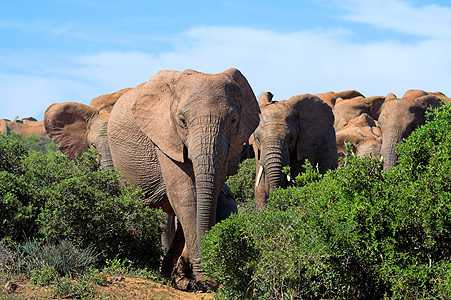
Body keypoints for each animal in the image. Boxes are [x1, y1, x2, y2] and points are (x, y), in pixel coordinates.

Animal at [107, 68, 262, 290]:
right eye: (182, 121)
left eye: (233, 121)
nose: (211, 280)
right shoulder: (165, 136)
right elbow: (186, 197)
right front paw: (202, 280)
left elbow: (209, 196)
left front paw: (195, 279)